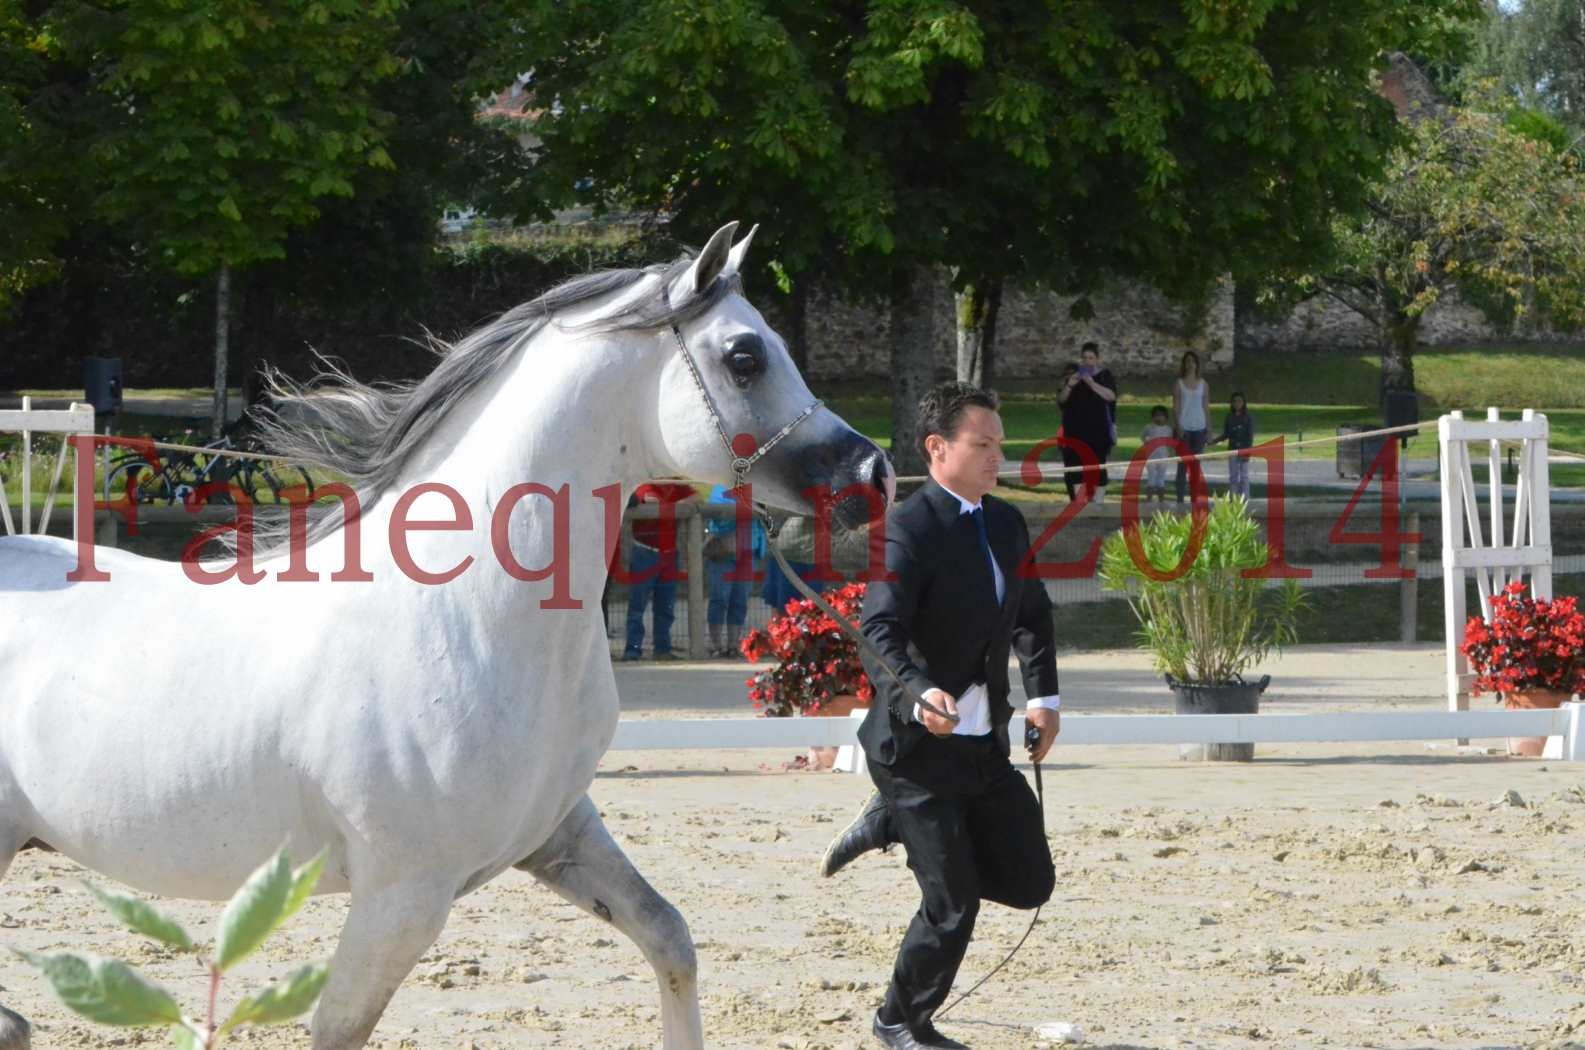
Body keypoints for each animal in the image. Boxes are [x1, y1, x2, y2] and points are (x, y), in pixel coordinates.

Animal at [0, 220, 893, 1046]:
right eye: (745, 356)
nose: (872, 475)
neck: (463, 619)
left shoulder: (559, 837)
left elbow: (670, 939)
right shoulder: (403, 895)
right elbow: (339, 1027)